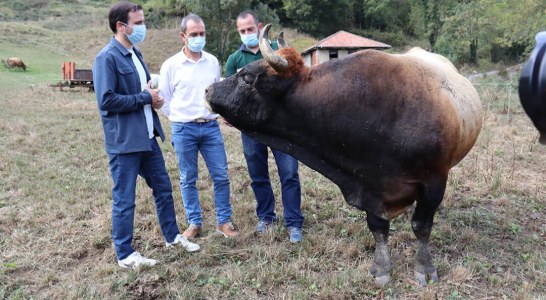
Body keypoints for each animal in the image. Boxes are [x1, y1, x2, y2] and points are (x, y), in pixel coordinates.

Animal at [205, 24, 480, 288]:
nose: (208, 89)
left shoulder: (433, 180)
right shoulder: (369, 185)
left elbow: (421, 227)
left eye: (247, 77)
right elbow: (378, 228)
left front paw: (424, 268)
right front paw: (382, 269)